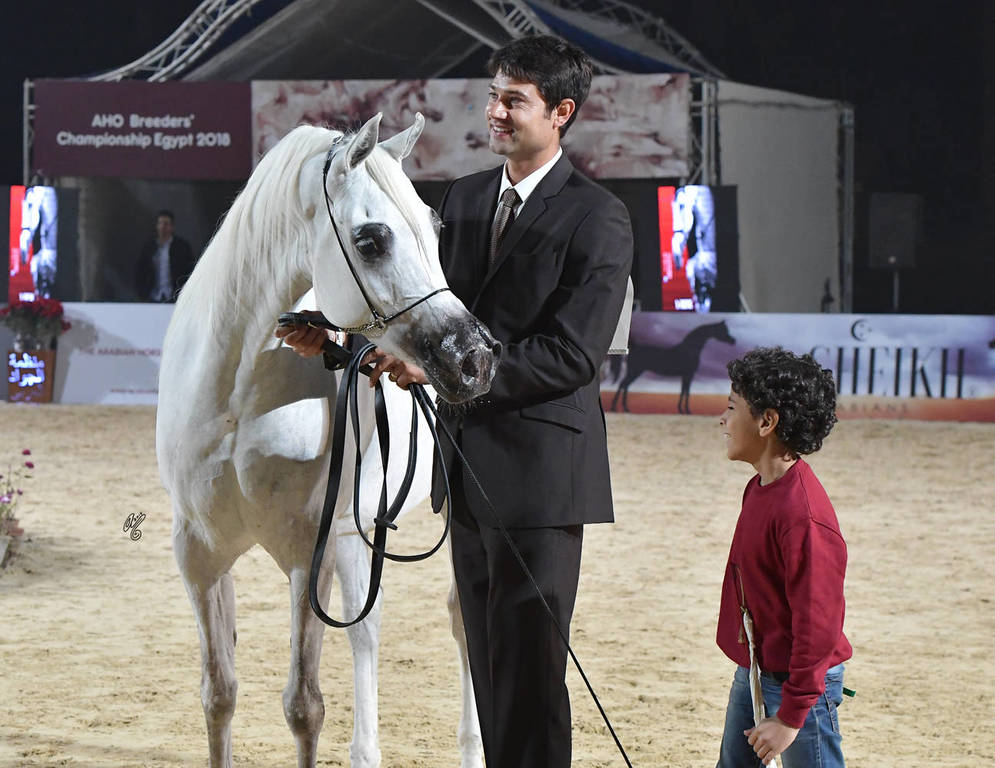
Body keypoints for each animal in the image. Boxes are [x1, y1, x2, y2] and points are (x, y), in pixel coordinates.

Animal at [156, 113, 497, 768]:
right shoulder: (200, 553)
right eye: (371, 240)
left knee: (455, 621)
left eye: (434, 228)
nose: (472, 359)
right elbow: (219, 693)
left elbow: (304, 706)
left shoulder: (307, 553)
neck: (237, 395)